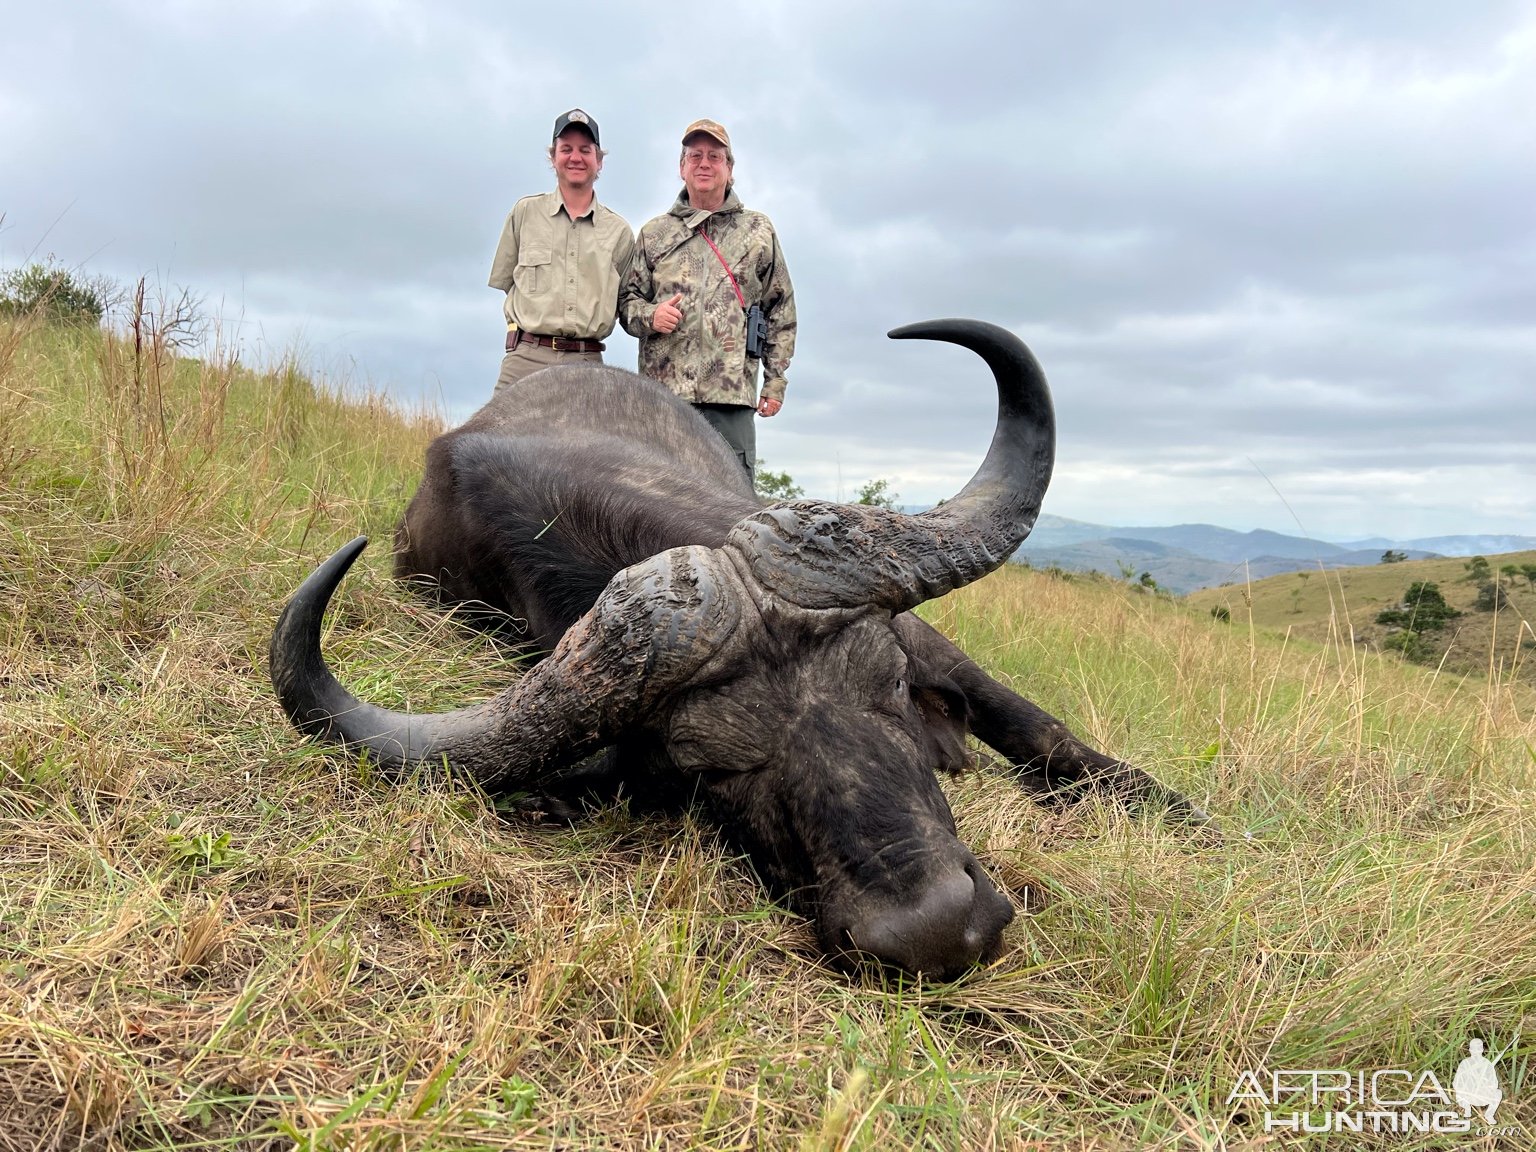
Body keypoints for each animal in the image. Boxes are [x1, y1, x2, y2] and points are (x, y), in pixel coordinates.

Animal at [270, 321, 1198, 976]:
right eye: (712, 771)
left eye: (890, 688)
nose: (937, 930)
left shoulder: (926, 638)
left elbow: (1038, 726)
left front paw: (1165, 805)